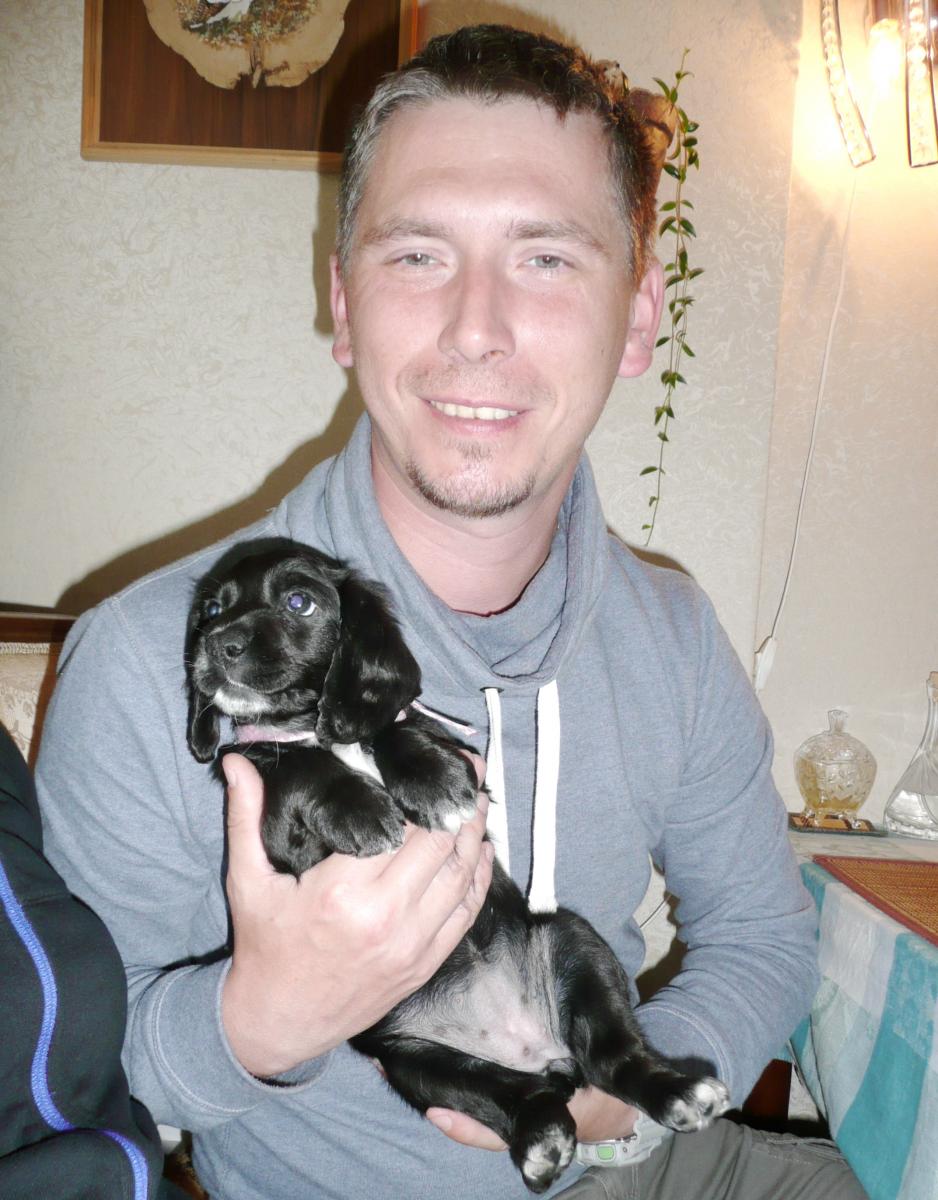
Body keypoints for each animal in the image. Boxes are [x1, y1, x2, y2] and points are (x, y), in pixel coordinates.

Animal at [185, 537, 730, 1192]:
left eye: (299, 602)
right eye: (212, 609)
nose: (218, 644)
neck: (312, 728)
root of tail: (533, 1048)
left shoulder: (428, 741)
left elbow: (394, 728)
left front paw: (433, 781)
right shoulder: (271, 826)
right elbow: (294, 767)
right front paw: (360, 809)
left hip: (570, 942)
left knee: (611, 1057)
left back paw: (679, 1092)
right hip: (418, 1066)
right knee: (518, 1094)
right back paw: (541, 1140)